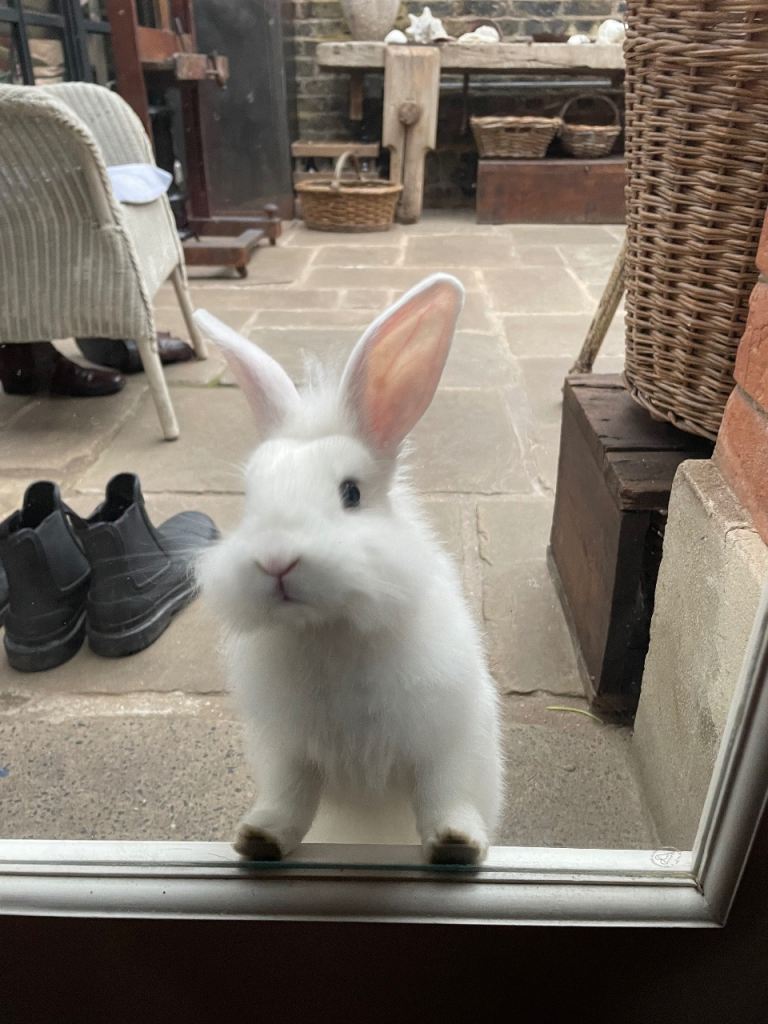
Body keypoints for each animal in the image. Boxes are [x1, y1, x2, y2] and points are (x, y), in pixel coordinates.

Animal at [193, 274, 503, 865]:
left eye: (351, 493)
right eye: (249, 497)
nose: (276, 561)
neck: (329, 628)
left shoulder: (443, 738)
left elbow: (443, 794)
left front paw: (455, 845)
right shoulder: (292, 753)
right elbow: (290, 800)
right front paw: (259, 839)